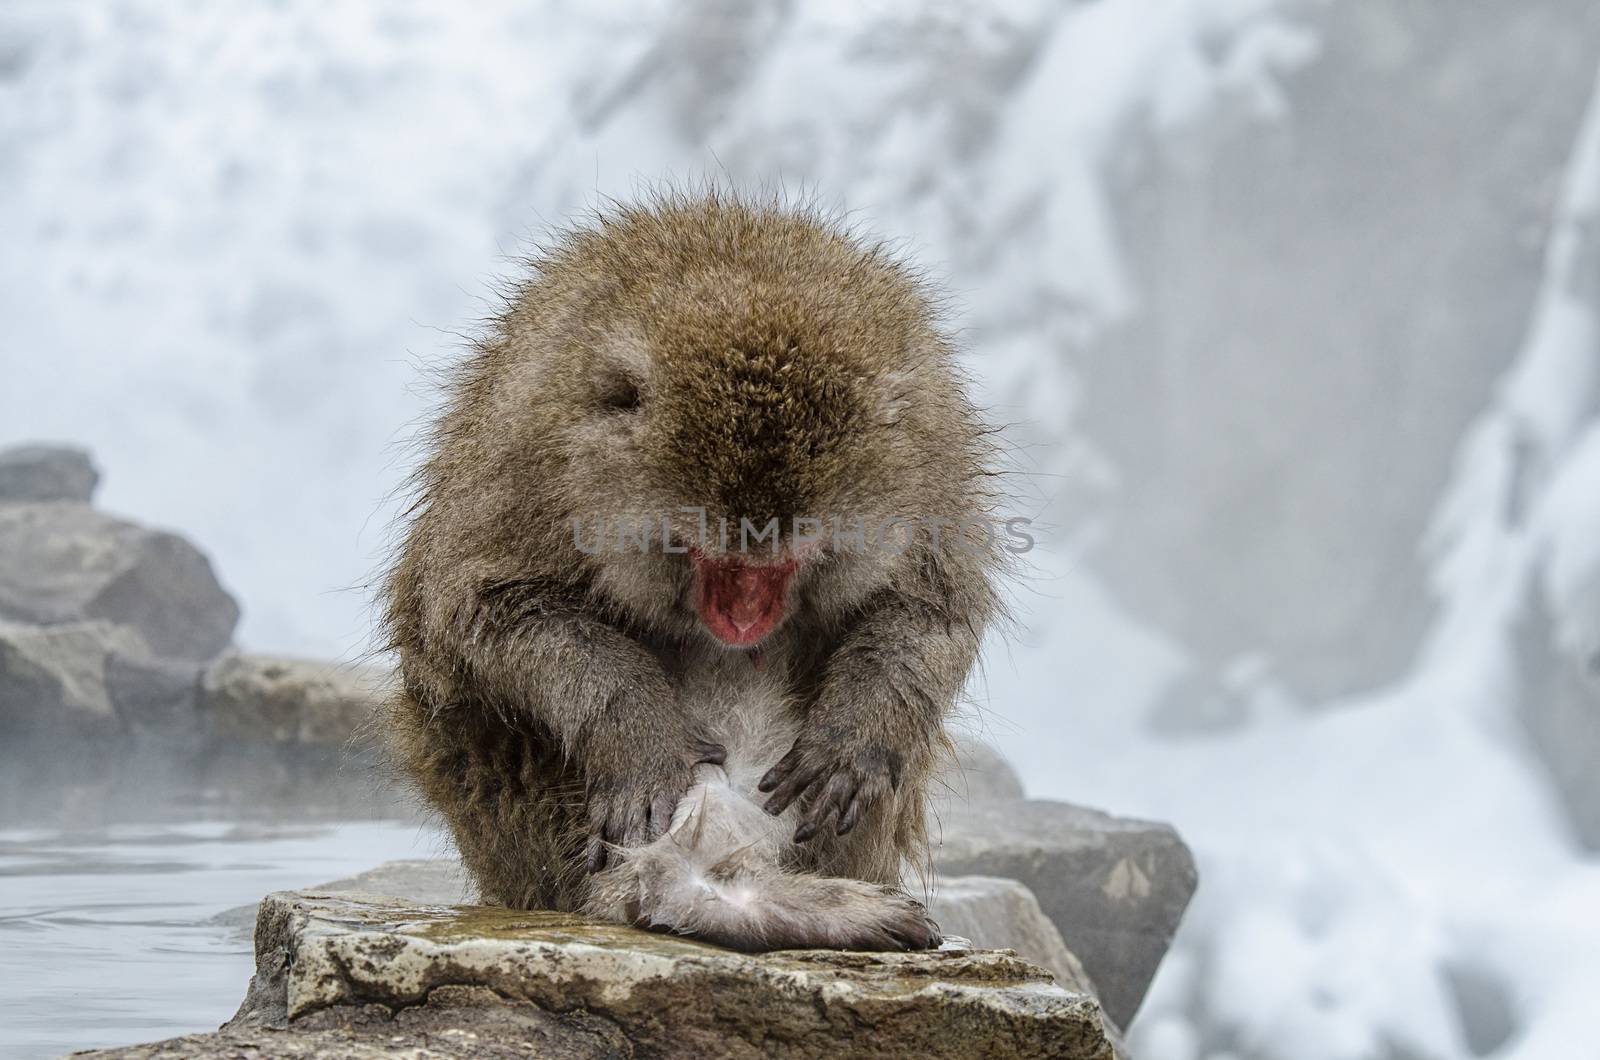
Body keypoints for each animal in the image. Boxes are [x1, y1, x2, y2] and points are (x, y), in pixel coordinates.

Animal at [380, 192, 998, 954]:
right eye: (710, 555)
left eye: (787, 561)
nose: (742, 619)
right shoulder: (527, 457)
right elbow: (482, 611)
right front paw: (638, 734)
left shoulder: (935, 466)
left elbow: (934, 607)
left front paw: (854, 735)